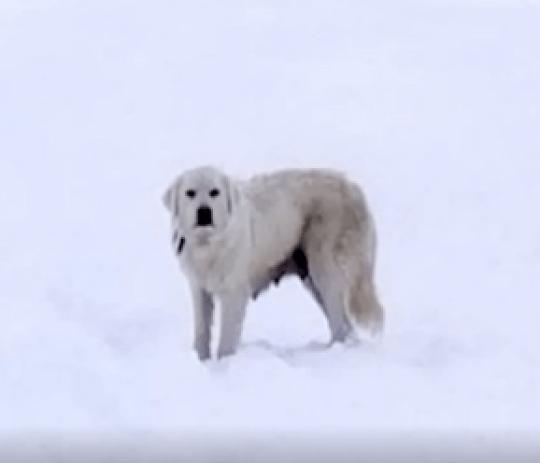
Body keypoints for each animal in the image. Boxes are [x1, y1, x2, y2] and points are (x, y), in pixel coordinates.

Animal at [163, 168, 384, 362]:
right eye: (190, 193)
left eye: (214, 192)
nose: (204, 211)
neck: (209, 245)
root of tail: (352, 188)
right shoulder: (199, 289)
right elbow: (202, 331)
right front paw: (201, 361)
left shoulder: (234, 292)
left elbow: (227, 337)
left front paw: (224, 365)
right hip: (312, 281)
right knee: (344, 324)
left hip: (325, 270)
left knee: (341, 323)